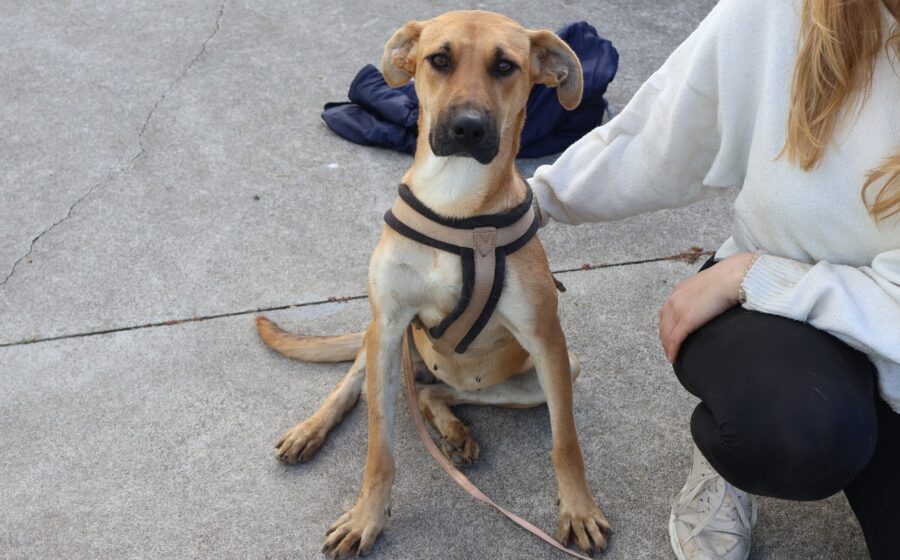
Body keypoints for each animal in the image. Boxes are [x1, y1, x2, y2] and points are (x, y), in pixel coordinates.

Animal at [256, 10, 611, 558]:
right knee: (352, 385)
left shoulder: (547, 340)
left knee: (435, 393)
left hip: (546, 372)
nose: (468, 128)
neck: (455, 201)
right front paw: (368, 517)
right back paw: (310, 429)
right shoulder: (388, 324)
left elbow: (565, 442)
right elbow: (378, 448)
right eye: (438, 59)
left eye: (505, 66)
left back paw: (452, 428)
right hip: (382, 340)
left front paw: (579, 509)